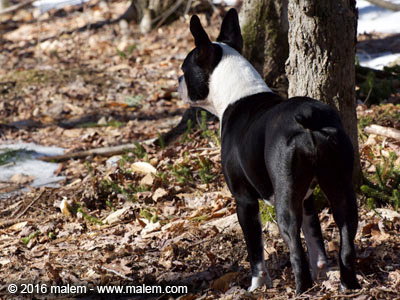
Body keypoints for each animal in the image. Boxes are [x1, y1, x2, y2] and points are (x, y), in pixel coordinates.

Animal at [177, 8, 360, 292]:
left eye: (184, 70)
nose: (178, 81)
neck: (238, 94)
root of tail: (308, 117)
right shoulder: (306, 198)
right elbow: (315, 237)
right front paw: (322, 271)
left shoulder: (244, 200)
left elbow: (255, 250)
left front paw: (257, 285)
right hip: (340, 184)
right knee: (346, 234)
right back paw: (347, 284)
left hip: (285, 202)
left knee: (295, 247)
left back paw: (302, 288)